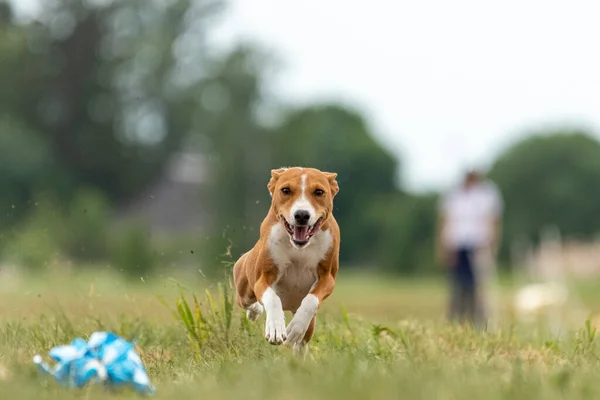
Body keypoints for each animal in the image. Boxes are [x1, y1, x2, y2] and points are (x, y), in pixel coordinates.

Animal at [233, 167, 340, 354]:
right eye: (285, 190)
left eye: (319, 192)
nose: (302, 215)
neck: (299, 247)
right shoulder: (263, 277)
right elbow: (272, 298)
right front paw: (276, 329)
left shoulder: (327, 277)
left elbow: (311, 301)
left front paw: (294, 329)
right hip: (244, 288)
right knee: (248, 302)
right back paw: (255, 311)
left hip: (309, 323)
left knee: (302, 341)